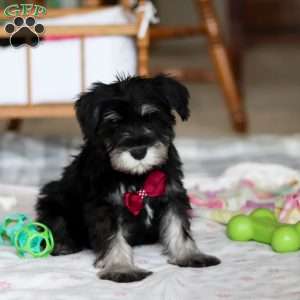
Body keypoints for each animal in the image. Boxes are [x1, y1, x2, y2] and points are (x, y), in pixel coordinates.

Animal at [35, 74, 220, 282]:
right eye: (114, 122)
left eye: (151, 118)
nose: (139, 152)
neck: (138, 176)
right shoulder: (106, 206)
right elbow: (113, 238)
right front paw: (121, 268)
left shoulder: (172, 195)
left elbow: (178, 227)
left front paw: (190, 255)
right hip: (53, 198)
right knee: (55, 223)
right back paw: (62, 245)